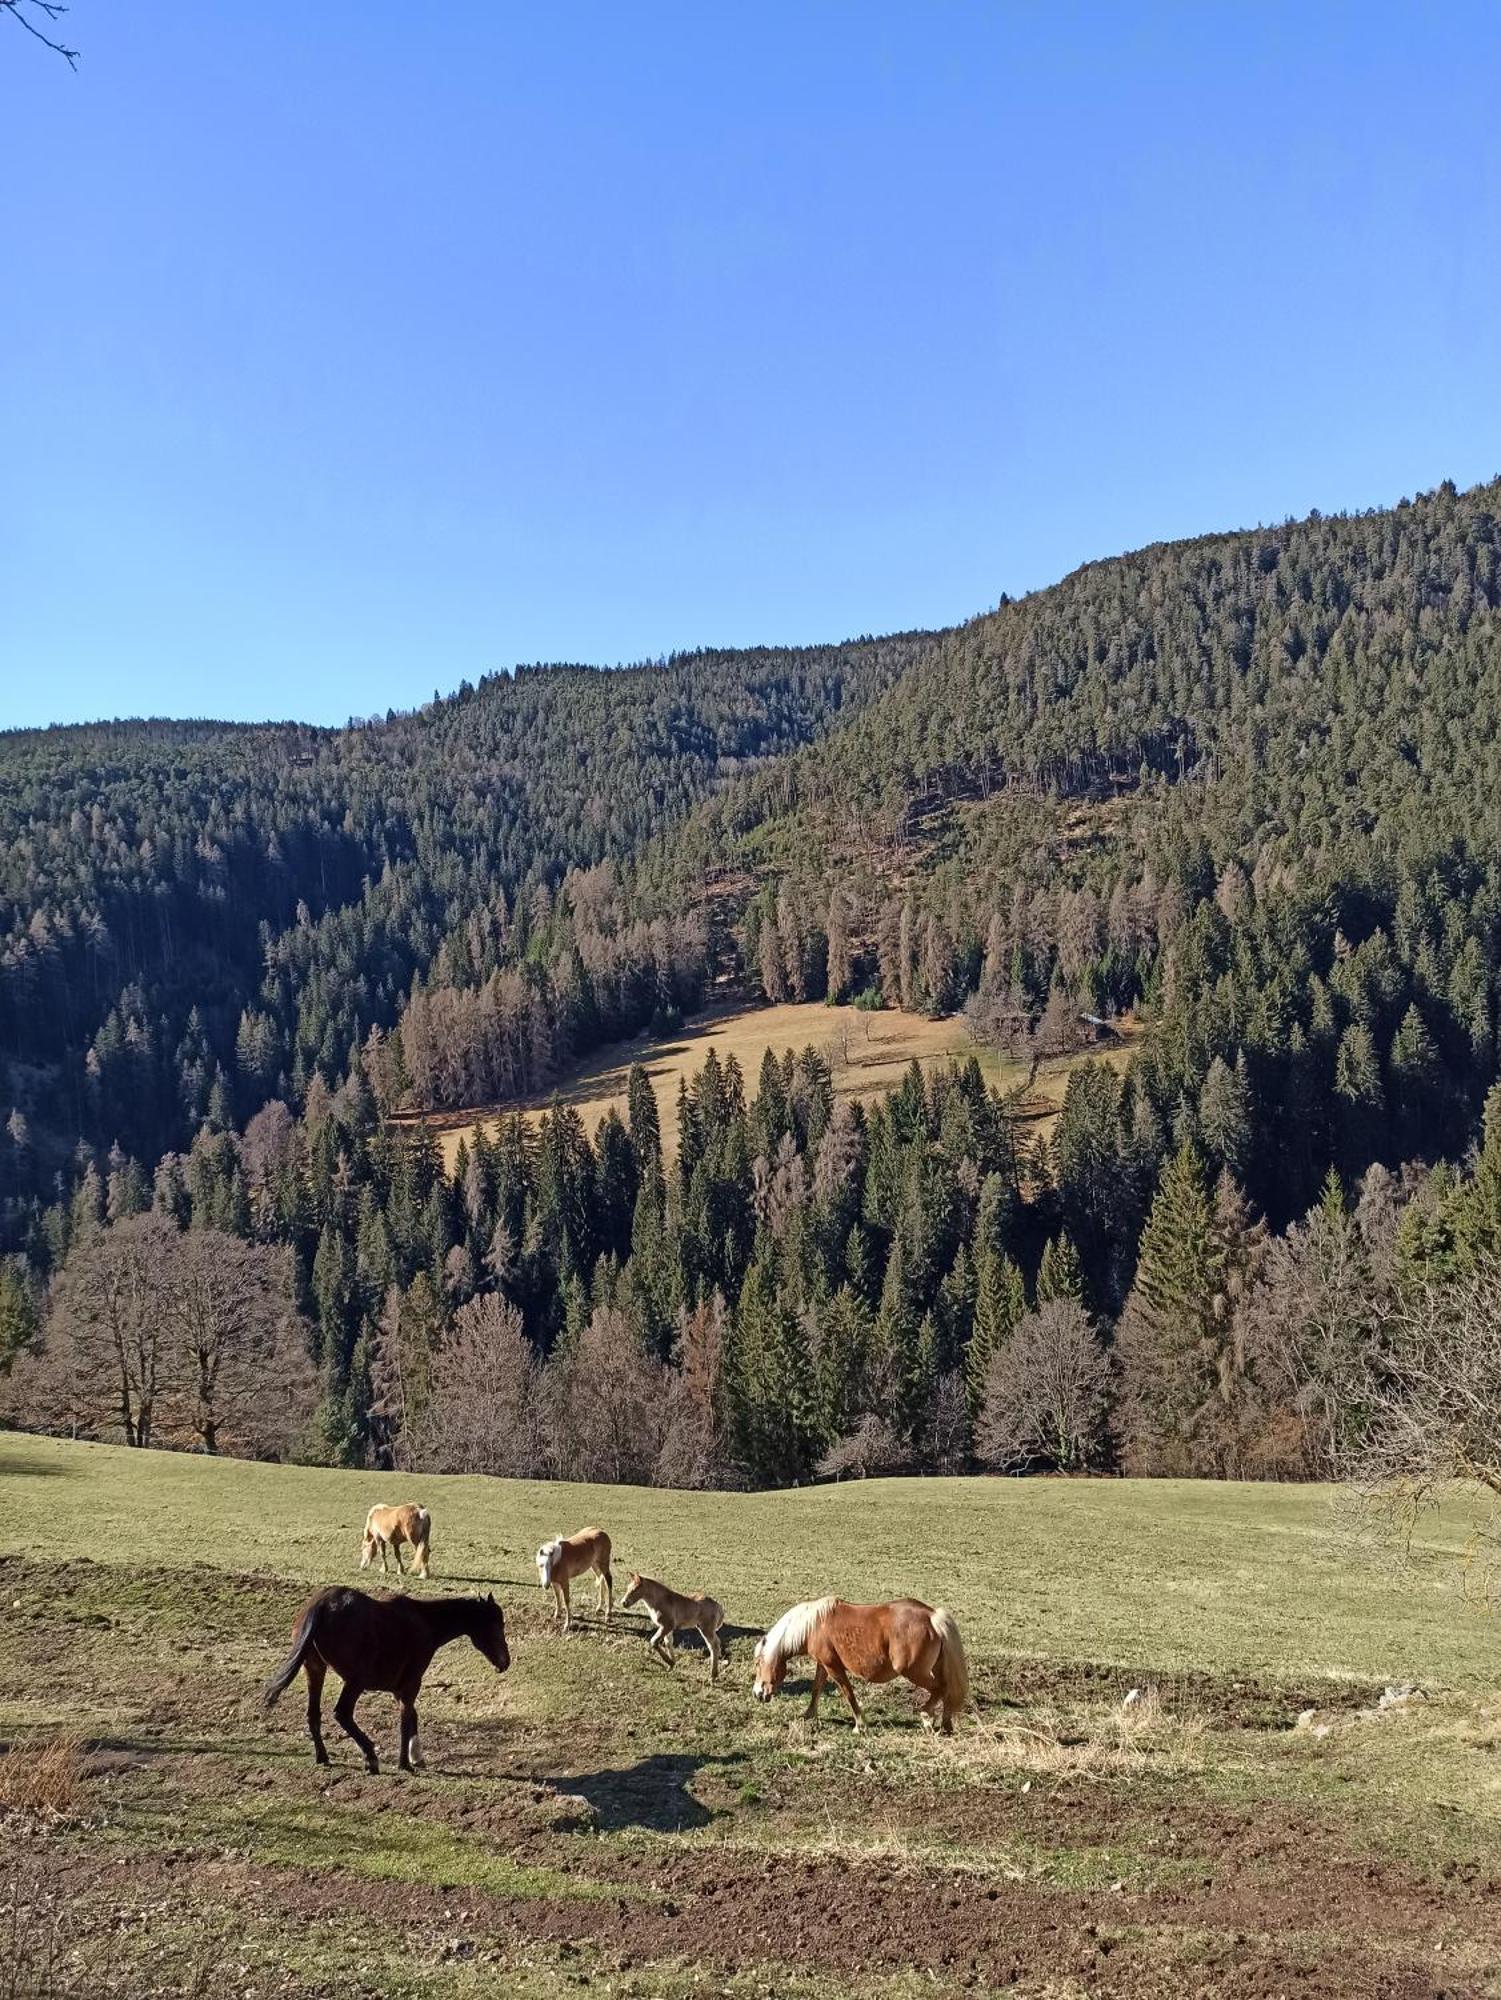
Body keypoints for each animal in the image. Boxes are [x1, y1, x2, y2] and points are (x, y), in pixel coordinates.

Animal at [264, 1584, 512, 1776]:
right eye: (497, 1624)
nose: (505, 1662)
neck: (424, 1621)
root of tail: (323, 1604)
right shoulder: (411, 1683)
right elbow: (405, 1720)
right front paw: (405, 1763)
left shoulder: (399, 1689)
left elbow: (412, 1716)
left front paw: (416, 1757)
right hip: (355, 1681)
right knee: (342, 1713)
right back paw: (370, 1757)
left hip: (315, 1670)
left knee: (313, 1714)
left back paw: (323, 1756)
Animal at [752, 1592, 976, 1736]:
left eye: (758, 1662)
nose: (758, 1693)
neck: (815, 1626)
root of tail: (931, 1617)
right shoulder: (823, 1665)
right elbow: (816, 1689)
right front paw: (808, 1715)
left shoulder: (833, 1666)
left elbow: (848, 1693)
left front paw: (860, 1725)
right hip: (932, 1668)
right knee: (946, 1691)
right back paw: (945, 1724)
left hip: (913, 1671)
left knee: (941, 1688)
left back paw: (926, 1717)